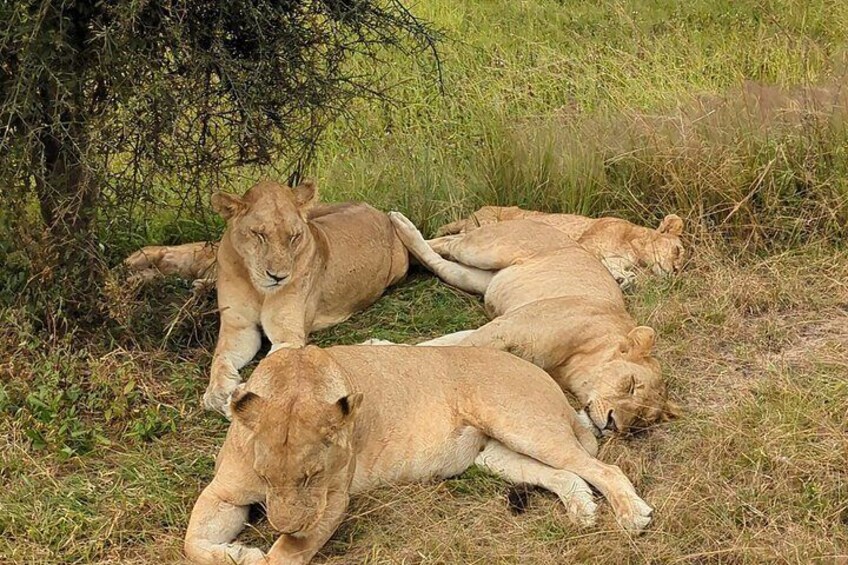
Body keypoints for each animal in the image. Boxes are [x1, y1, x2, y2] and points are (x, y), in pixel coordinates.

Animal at [184, 345, 654, 564]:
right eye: (265, 477)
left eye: (310, 477)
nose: (282, 523)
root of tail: (539, 371)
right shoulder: (224, 493)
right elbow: (193, 543)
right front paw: (240, 552)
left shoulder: (332, 501)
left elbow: (285, 553)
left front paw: (263, 551)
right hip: (495, 456)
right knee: (565, 474)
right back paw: (582, 510)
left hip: (525, 427)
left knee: (604, 467)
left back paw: (632, 513)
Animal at [203, 180, 409, 415]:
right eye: (259, 234)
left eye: (294, 237)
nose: (278, 277)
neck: (258, 288)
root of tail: (375, 209)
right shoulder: (239, 328)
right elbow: (220, 358)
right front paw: (216, 392)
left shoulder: (287, 335)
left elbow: (270, 363)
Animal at [390, 212, 679, 436]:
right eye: (630, 385)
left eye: (640, 421)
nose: (613, 425)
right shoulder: (509, 327)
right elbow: (461, 348)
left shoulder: (505, 323)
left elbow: (445, 343)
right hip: (485, 249)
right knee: (450, 241)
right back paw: (400, 224)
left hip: (480, 279)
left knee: (443, 265)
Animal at [435, 205, 685, 284]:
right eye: (677, 251)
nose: (675, 272)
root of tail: (474, 212)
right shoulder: (586, 246)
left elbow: (616, 268)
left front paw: (626, 279)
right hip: (484, 227)